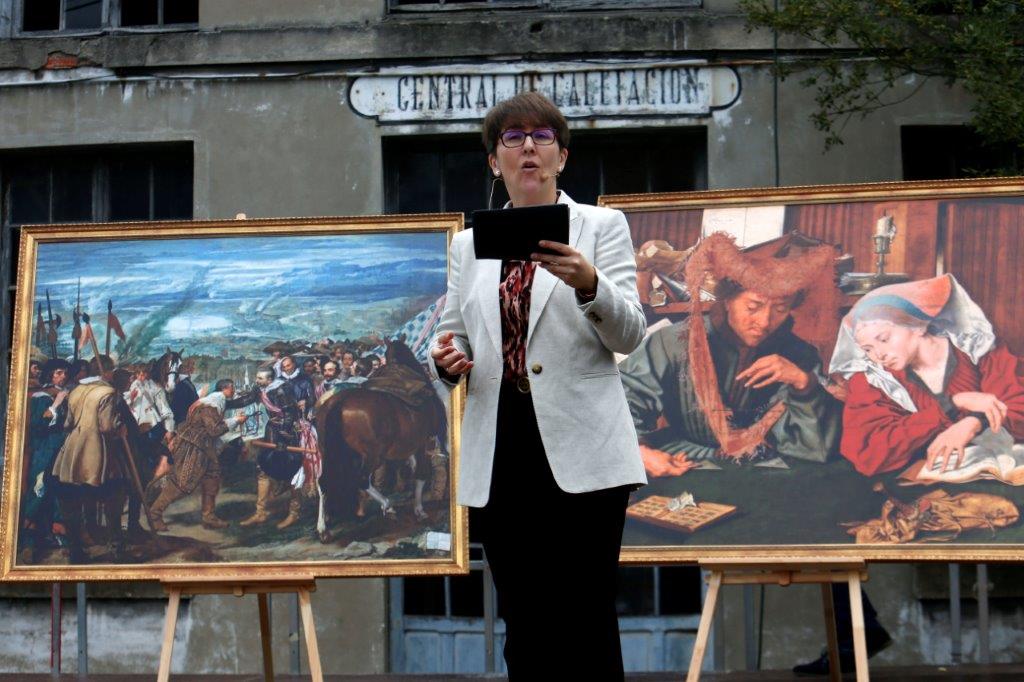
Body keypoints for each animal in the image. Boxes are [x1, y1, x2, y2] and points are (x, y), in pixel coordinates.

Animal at [315, 337, 448, 532]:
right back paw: (388, 505)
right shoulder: (422, 444)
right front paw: (419, 510)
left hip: (330, 453)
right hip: (372, 456)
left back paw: (322, 527)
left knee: (324, 481)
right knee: (362, 480)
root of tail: (337, 403)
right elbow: (421, 474)